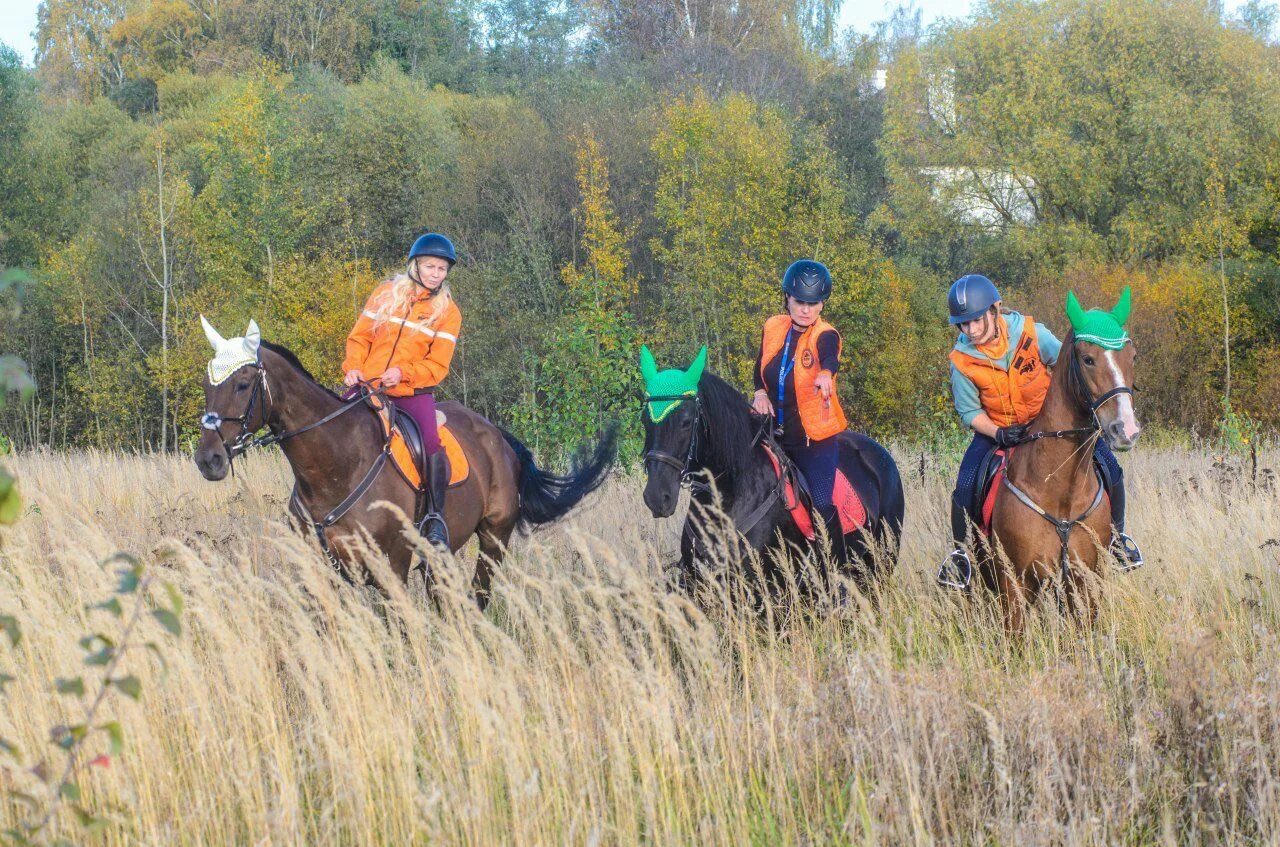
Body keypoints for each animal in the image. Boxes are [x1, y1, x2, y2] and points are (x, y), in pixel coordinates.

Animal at [192, 322, 616, 606]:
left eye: (243, 384)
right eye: (207, 384)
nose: (208, 459)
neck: (334, 466)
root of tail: (499, 436)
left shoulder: (390, 564)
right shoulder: (326, 567)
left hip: (494, 538)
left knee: (479, 595)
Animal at [637, 348, 901, 601]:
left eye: (686, 421)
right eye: (645, 420)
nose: (656, 497)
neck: (731, 493)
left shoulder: (768, 589)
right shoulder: (700, 584)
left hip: (882, 561)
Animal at [977, 291, 1141, 629]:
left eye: (1132, 357)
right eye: (1088, 359)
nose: (1126, 430)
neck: (1059, 489)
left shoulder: (1085, 581)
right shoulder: (1014, 586)